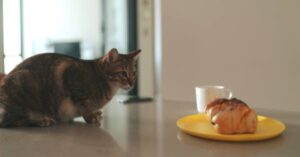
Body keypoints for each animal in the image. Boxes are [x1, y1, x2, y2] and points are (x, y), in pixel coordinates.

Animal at [0, 48, 141, 127]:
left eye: (134, 73)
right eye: (123, 73)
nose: (132, 83)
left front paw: (96, 112)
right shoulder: (73, 79)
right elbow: (84, 105)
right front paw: (91, 117)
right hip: (24, 84)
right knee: (10, 121)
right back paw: (42, 121)